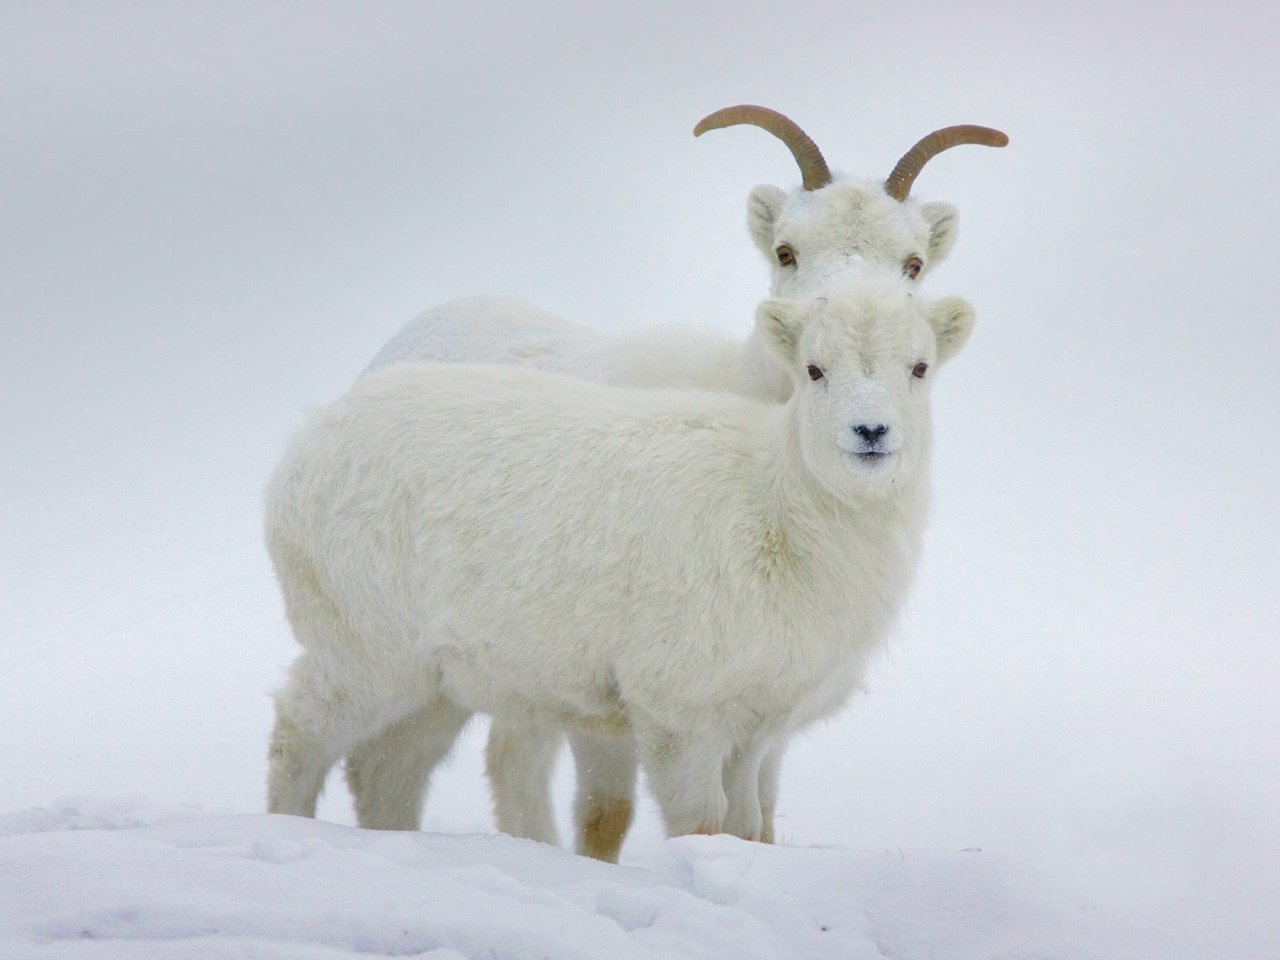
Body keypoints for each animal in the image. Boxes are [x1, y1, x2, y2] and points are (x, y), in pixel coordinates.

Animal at [264, 273, 972, 855]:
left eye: (919, 367)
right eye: (814, 369)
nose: (871, 432)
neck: (778, 510)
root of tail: (305, 443)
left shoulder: (754, 729)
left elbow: (746, 827)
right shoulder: (679, 712)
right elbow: (700, 824)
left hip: (436, 682)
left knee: (386, 771)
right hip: (365, 649)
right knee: (300, 731)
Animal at [345, 106, 1003, 865]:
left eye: (913, 262)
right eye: (786, 251)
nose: (844, 314)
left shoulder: (762, 711)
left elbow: (760, 818)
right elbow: (609, 813)